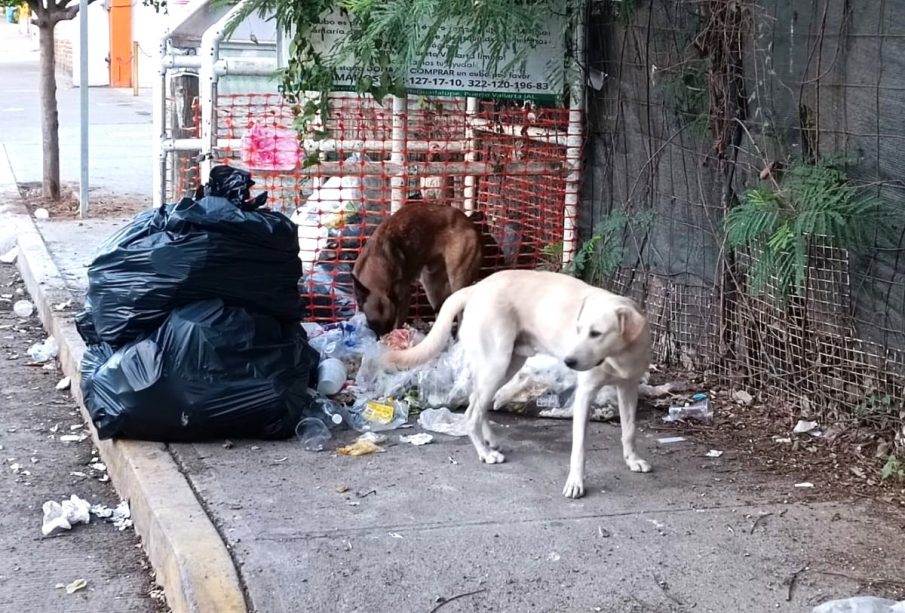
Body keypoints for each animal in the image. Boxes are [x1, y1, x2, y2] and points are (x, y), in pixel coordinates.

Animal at [352, 202, 484, 334]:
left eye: (390, 322)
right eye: (373, 324)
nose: (382, 337)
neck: (376, 266)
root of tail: (469, 222)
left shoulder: (404, 301)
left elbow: (397, 324)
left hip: (457, 282)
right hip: (431, 284)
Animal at [380, 268, 648, 498]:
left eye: (597, 333)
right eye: (578, 329)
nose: (569, 361)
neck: (618, 355)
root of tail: (475, 288)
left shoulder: (629, 387)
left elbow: (629, 430)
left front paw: (633, 459)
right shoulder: (585, 394)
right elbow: (579, 449)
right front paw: (575, 483)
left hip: (508, 366)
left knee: (475, 402)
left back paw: (490, 440)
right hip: (497, 364)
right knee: (471, 413)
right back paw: (485, 453)